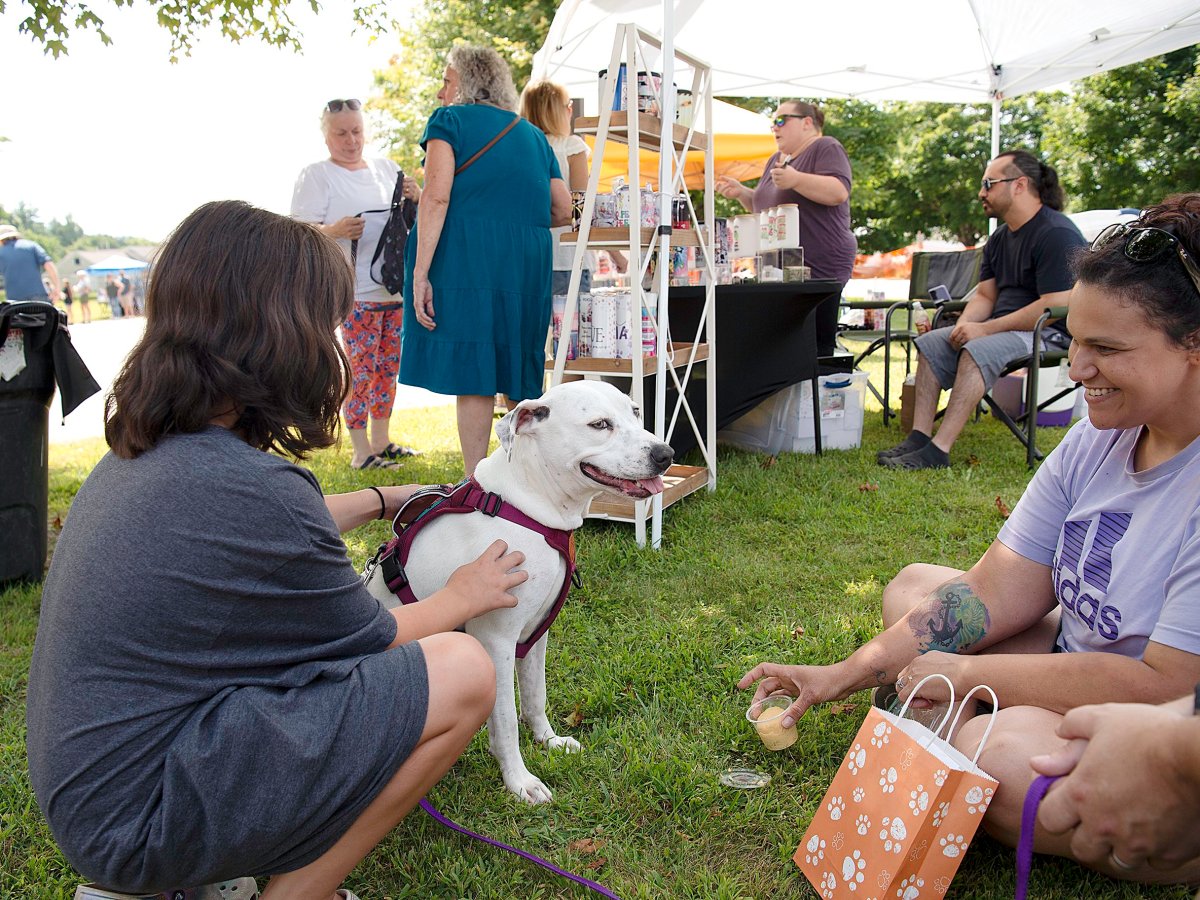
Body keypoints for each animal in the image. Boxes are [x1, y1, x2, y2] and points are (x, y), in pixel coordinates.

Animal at [366, 380, 674, 803]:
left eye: (636, 412)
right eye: (599, 424)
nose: (666, 455)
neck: (528, 507)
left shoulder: (536, 633)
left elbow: (534, 696)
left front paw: (549, 741)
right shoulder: (495, 641)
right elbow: (507, 719)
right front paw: (519, 781)